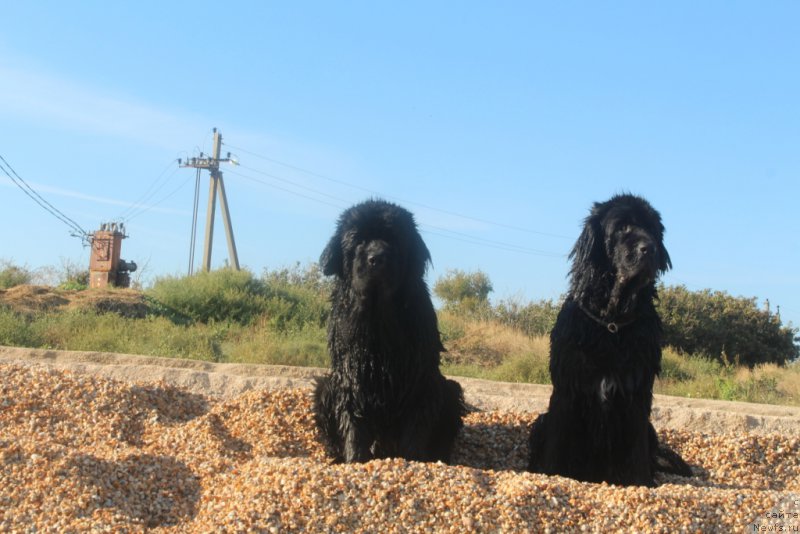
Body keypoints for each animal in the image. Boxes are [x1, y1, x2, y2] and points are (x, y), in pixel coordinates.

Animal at [310, 200, 462, 464]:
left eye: (395, 240)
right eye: (358, 240)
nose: (377, 258)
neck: (379, 316)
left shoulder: (420, 377)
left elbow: (416, 424)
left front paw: (413, 459)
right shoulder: (352, 373)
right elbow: (352, 421)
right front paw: (354, 459)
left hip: (450, 391)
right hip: (325, 388)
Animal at [528, 195, 692, 488]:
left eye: (653, 229)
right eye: (622, 228)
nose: (649, 249)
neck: (612, 323)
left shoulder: (637, 391)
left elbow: (636, 448)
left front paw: (641, 483)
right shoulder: (567, 389)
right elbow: (557, 443)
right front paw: (552, 474)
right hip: (541, 422)